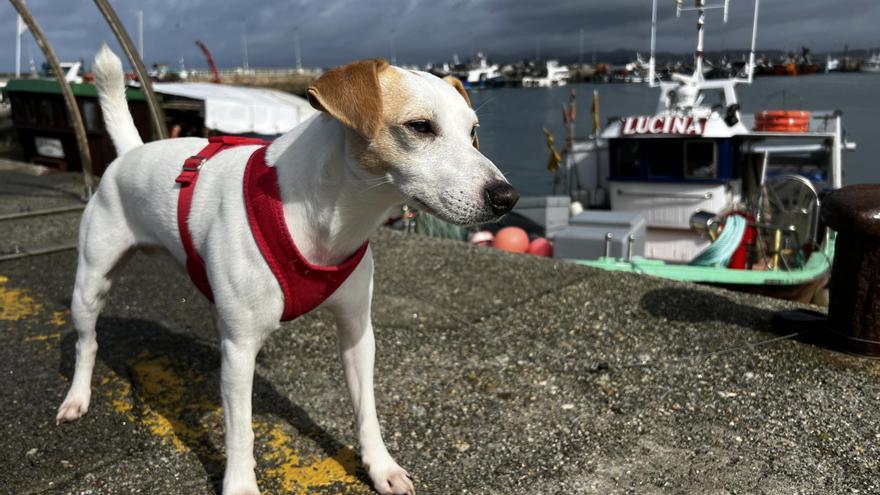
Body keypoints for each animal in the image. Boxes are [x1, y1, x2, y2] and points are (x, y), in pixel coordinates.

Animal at [55, 43, 520, 495]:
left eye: (473, 132)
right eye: (421, 126)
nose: (506, 197)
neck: (330, 219)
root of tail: (132, 151)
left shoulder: (357, 331)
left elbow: (366, 409)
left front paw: (381, 467)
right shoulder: (239, 349)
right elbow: (240, 429)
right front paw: (241, 486)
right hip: (90, 283)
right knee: (87, 342)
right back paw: (77, 397)